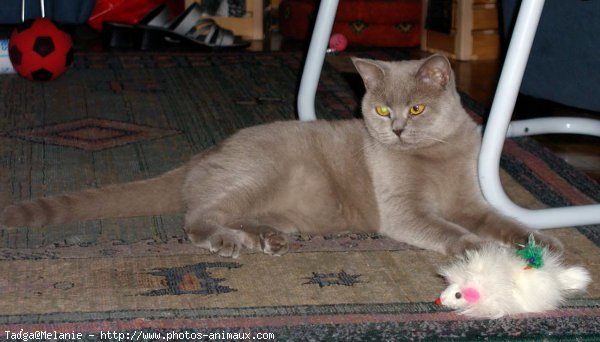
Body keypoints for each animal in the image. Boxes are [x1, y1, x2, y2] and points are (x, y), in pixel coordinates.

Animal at [1, 55, 564, 256]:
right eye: (382, 108)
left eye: (418, 107)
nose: (397, 129)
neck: (435, 155)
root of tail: (202, 155)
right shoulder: (404, 212)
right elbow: (448, 229)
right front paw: (476, 248)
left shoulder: (472, 200)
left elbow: (499, 220)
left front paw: (538, 240)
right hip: (261, 172)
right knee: (197, 218)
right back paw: (230, 243)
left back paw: (267, 237)